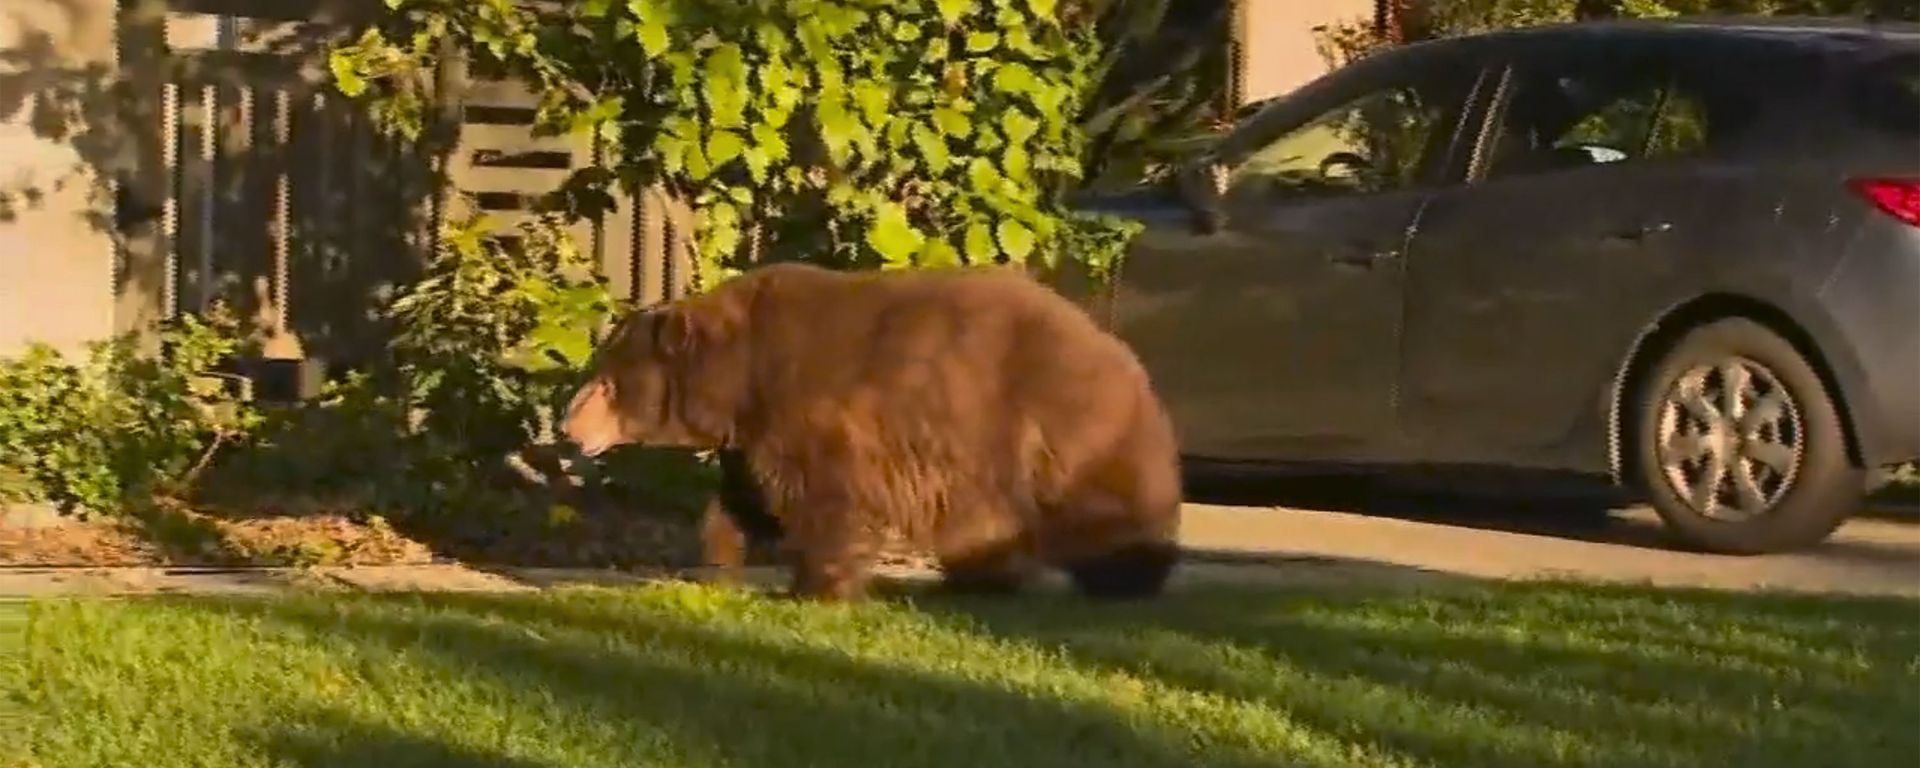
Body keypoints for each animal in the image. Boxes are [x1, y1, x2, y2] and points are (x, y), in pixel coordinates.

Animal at [562, 261, 1183, 601]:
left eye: (609, 382)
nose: (569, 426)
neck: (741, 375)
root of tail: (1124, 355)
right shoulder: (754, 435)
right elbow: (743, 499)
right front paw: (720, 562)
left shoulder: (813, 410)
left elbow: (824, 496)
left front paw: (818, 587)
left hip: (1058, 425)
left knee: (1104, 507)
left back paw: (1128, 573)